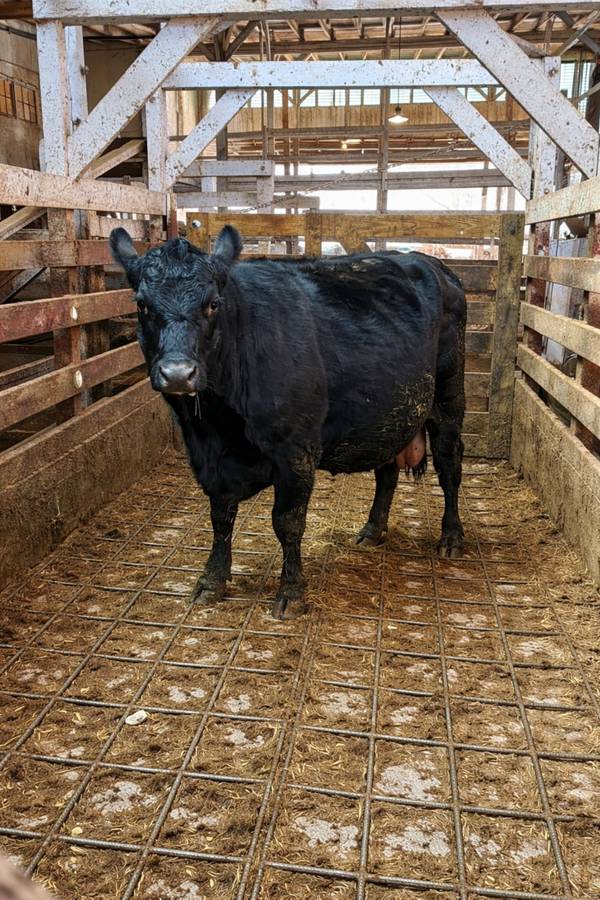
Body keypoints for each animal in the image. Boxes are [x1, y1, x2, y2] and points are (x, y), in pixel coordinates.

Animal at [110, 226, 466, 619]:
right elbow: (220, 518)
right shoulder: (208, 457)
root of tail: (428, 261)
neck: (220, 424)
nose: (177, 374)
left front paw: (291, 591)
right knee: (386, 472)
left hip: (449, 400)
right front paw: (212, 580)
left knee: (450, 467)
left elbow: (288, 523)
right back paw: (373, 529)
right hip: (388, 415)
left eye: (213, 303)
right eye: (141, 304)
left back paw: (451, 537)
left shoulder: (296, 452)